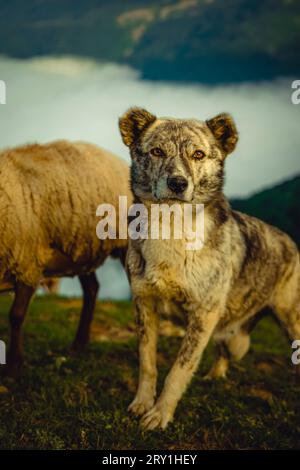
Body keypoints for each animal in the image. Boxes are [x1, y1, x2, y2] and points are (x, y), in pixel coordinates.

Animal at [0, 140, 132, 374]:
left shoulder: (27, 265)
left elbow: (16, 315)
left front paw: (14, 364)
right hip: (81, 251)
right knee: (92, 288)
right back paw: (79, 343)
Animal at [118, 106, 298, 430]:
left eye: (198, 154)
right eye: (157, 151)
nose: (178, 183)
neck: (171, 231)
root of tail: (289, 240)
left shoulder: (203, 314)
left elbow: (179, 369)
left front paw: (160, 414)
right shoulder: (145, 305)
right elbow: (147, 362)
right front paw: (142, 404)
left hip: (290, 318)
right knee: (223, 350)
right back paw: (215, 375)